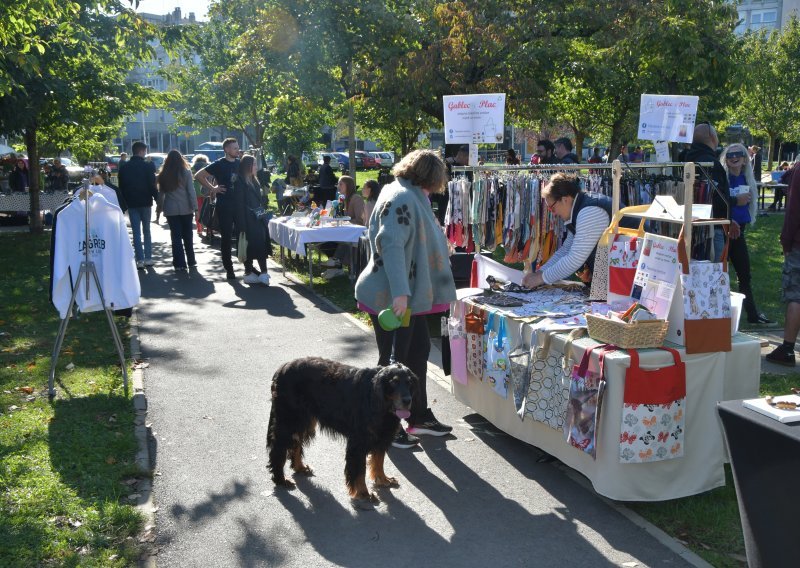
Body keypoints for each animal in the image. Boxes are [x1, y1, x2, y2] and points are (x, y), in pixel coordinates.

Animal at [268, 358, 418, 500]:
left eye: (409, 382)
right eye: (394, 382)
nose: (407, 400)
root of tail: (282, 368)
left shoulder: (382, 436)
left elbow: (379, 461)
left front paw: (383, 479)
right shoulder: (358, 443)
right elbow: (360, 470)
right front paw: (363, 493)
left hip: (305, 420)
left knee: (296, 443)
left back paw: (299, 467)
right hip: (289, 420)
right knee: (278, 449)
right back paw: (281, 479)